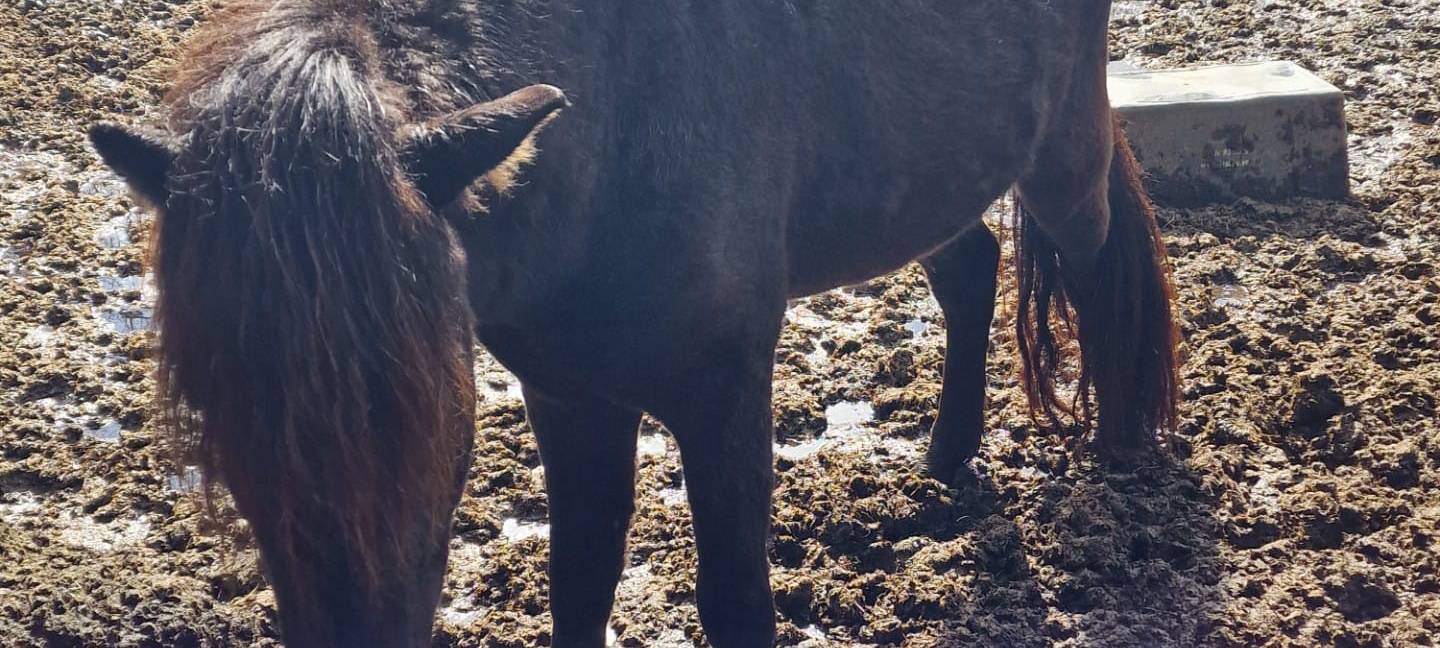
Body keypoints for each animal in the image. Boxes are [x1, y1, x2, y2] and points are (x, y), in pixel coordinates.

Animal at [88, 0, 1179, 645]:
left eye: (429, 420)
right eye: (223, 424)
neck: (617, 124)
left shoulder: (726, 394)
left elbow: (734, 604)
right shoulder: (570, 398)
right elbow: (580, 581)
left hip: (1060, 153)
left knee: (1099, 263)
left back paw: (1123, 471)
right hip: (920, 173)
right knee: (970, 267)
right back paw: (945, 461)